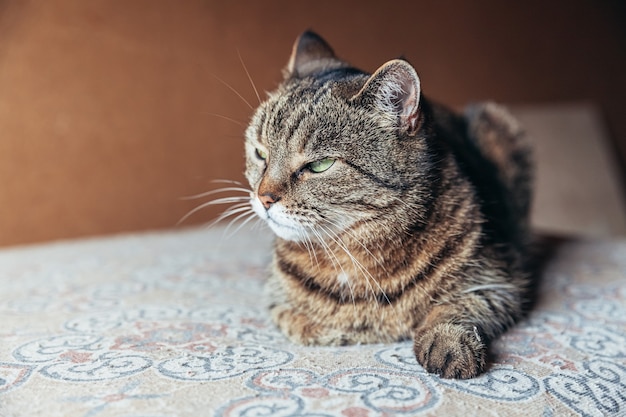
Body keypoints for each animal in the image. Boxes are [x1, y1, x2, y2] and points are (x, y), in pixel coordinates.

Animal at [241, 30, 528, 378]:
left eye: (320, 165)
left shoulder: (503, 278)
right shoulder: (277, 299)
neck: (354, 252)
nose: (264, 197)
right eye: (260, 153)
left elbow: (458, 306)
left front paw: (447, 341)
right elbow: (303, 322)